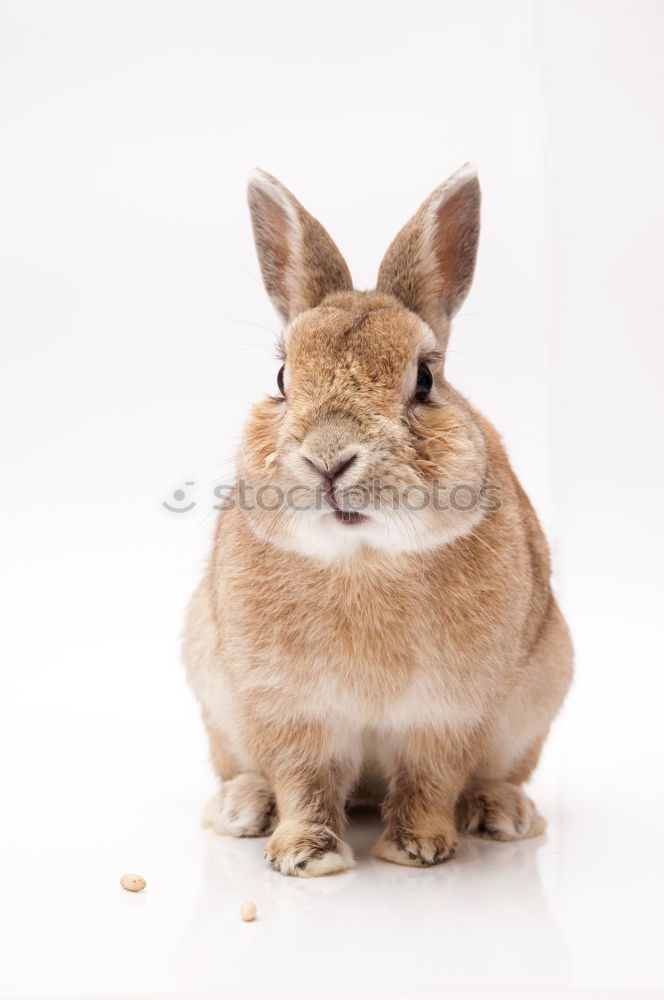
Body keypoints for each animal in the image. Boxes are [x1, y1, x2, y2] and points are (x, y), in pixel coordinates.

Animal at [182, 164, 572, 876]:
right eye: (281, 378)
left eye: (424, 381)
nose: (328, 459)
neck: (362, 556)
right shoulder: (290, 708)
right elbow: (303, 778)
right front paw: (308, 857)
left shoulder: (448, 713)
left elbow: (430, 778)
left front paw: (416, 849)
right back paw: (242, 808)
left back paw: (501, 813)